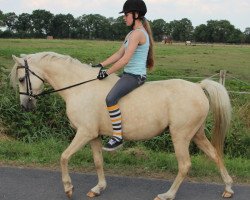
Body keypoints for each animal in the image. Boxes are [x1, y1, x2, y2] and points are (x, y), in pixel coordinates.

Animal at [10, 52, 233, 199]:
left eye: (21, 78)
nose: (24, 106)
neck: (80, 87)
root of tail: (198, 87)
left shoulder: (84, 133)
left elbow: (64, 157)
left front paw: (68, 188)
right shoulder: (94, 136)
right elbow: (98, 162)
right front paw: (98, 188)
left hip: (181, 136)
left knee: (185, 165)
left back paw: (167, 195)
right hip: (196, 134)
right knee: (215, 155)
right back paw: (228, 188)